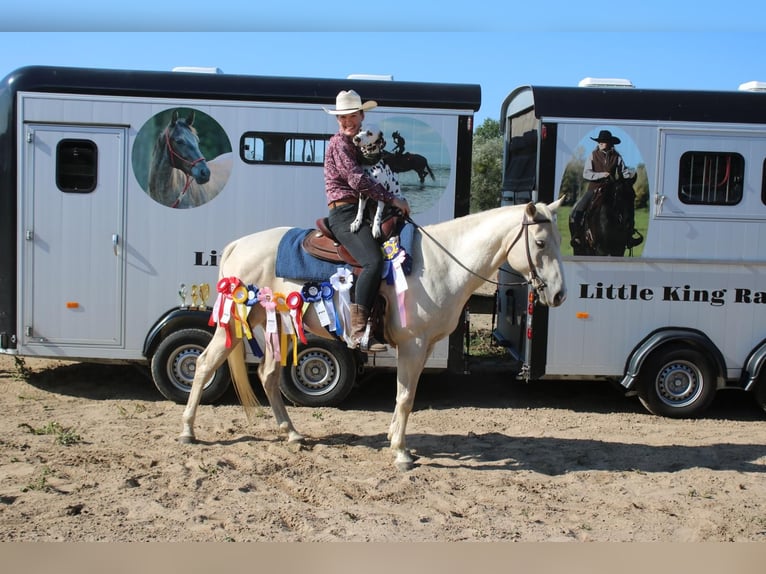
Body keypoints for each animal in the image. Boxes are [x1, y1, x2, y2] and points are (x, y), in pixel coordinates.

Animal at [178, 200, 564, 470]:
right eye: (540, 242)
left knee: (268, 376)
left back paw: (292, 434)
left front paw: (394, 438)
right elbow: (406, 397)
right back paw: (188, 431)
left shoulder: (424, 348)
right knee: (204, 364)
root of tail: (237, 245)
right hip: (233, 324)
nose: (559, 295)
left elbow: (406, 396)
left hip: (277, 325)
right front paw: (401, 453)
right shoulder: (412, 344)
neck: (442, 263)